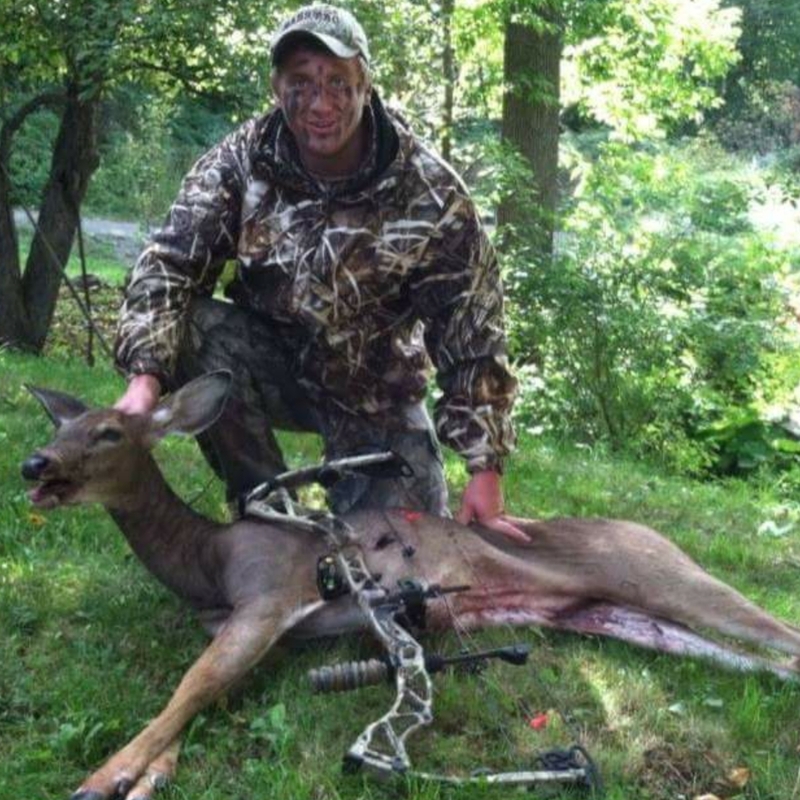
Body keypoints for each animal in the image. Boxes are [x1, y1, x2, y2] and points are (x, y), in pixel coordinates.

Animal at [20, 370, 800, 800]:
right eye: (61, 427)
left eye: (109, 433)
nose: (34, 463)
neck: (204, 563)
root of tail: (651, 534)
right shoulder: (263, 632)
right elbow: (203, 693)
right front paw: (149, 774)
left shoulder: (270, 596)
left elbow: (193, 685)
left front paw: (104, 777)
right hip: (624, 616)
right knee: (763, 661)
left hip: (666, 576)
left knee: (782, 636)